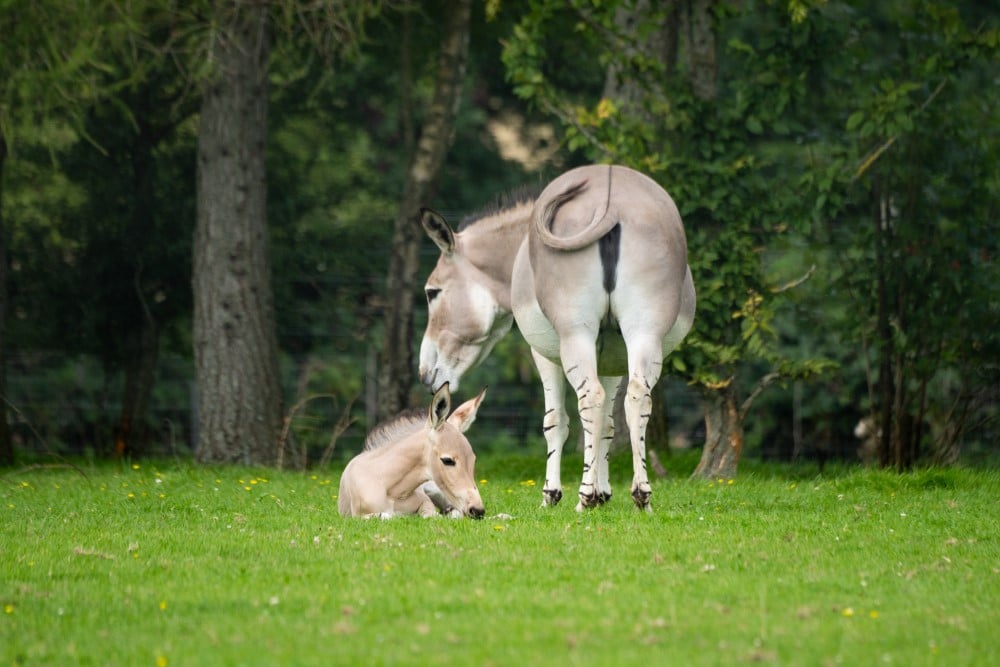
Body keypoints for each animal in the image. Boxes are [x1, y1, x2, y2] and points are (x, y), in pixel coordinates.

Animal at [338, 384, 486, 520]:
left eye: (473, 460)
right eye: (447, 460)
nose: (477, 510)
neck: (389, 488)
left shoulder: (426, 502)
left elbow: (429, 514)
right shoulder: (356, 517)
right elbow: (385, 515)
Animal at [418, 164, 692, 516]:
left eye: (431, 292)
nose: (425, 374)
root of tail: (613, 201)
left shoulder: (542, 352)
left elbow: (555, 421)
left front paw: (554, 493)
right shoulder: (613, 356)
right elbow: (607, 425)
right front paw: (604, 492)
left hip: (576, 336)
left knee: (589, 398)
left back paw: (584, 497)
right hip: (644, 332)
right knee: (637, 398)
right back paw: (641, 496)